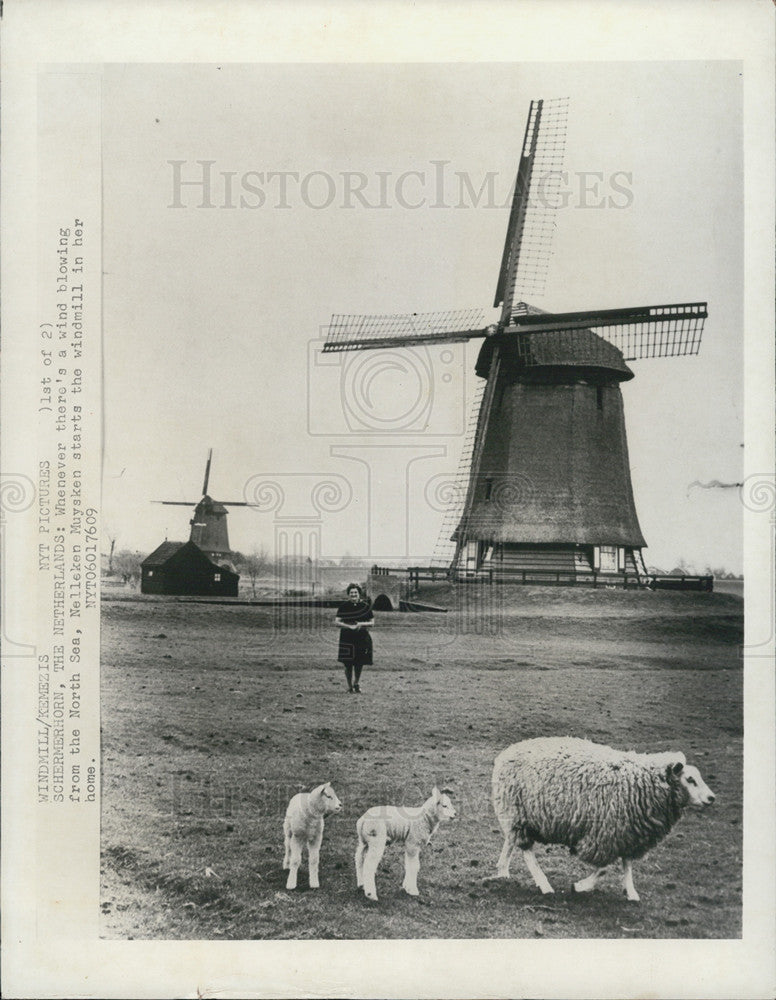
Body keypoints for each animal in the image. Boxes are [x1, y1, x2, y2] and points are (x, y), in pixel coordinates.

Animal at [492, 736, 716, 908]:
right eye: (690, 780)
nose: (711, 798)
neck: (646, 781)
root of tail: (506, 753)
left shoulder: (629, 833)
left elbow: (627, 864)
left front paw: (631, 892)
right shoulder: (604, 834)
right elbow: (604, 868)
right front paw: (580, 886)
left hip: (516, 815)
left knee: (510, 840)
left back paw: (503, 870)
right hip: (518, 813)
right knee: (527, 851)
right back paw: (544, 885)